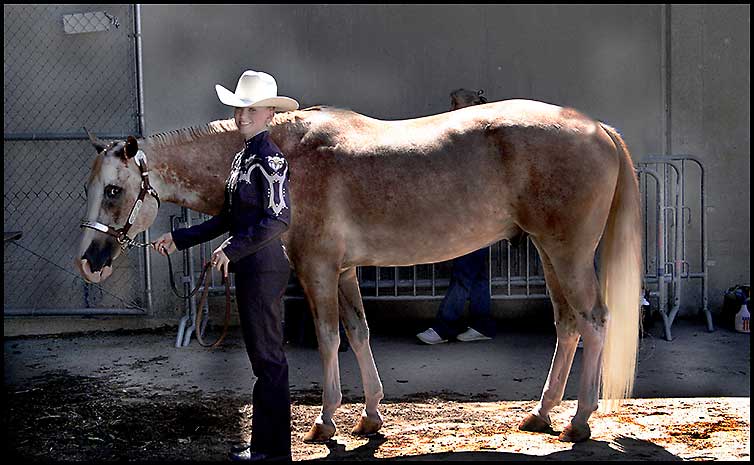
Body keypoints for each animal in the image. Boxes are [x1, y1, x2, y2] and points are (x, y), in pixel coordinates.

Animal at [75, 99, 640, 444]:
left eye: (114, 190)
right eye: (90, 186)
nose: (88, 262)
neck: (291, 155)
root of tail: (599, 129)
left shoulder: (317, 269)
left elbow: (329, 339)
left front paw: (325, 423)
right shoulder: (345, 271)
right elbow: (359, 332)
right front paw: (370, 416)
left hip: (567, 254)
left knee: (594, 321)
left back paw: (578, 422)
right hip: (548, 253)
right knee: (567, 325)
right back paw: (542, 413)